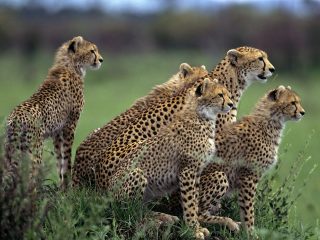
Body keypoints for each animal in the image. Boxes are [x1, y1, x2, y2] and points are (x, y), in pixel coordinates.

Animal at [4, 35, 103, 188]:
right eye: (92, 51)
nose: (101, 60)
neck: (70, 65)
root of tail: (14, 119)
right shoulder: (69, 126)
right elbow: (67, 159)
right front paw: (68, 188)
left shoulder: (57, 132)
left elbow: (59, 161)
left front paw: (62, 187)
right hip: (34, 152)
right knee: (29, 180)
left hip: (11, 152)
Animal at [198, 85, 304, 233]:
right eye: (293, 103)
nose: (303, 112)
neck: (271, 121)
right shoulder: (248, 177)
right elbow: (248, 210)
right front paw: (251, 233)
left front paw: (246, 230)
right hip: (219, 176)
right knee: (196, 213)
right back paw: (227, 222)